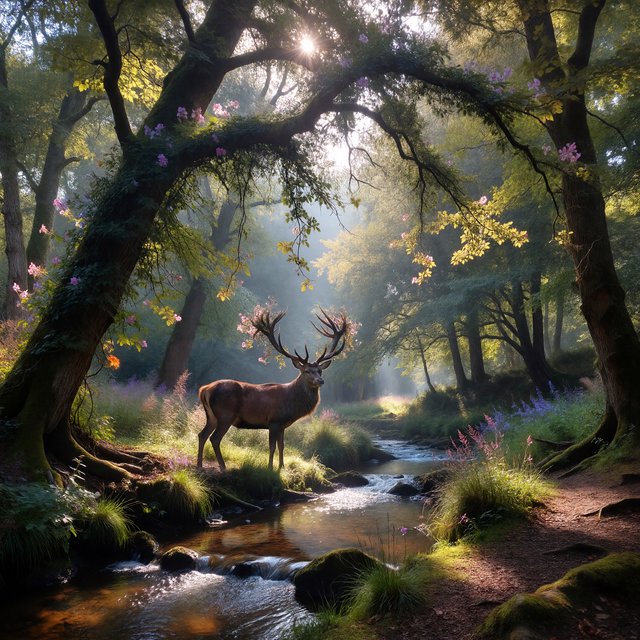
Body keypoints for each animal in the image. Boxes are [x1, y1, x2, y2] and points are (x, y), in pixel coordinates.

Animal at [196, 309, 347, 471]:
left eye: (320, 371)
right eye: (307, 371)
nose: (320, 380)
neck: (292, 405)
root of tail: (205, 389)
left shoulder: (282, 425)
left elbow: (282, 446)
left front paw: (282, 467)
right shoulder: (274, 421)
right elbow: (272, 447)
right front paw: (270, 468)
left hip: (211, 416)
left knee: (202, 434)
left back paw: (199, 465)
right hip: (225, 414)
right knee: (215, 438)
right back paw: (223, 466)